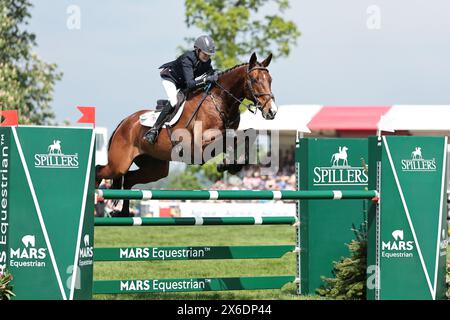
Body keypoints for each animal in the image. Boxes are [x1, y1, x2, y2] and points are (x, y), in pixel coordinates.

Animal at [95, 52, 278, 216]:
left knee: (129, 179)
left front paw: (232, 165)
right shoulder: (199, 145)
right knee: (100, 171)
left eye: (270, 80)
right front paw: (227, 165)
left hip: (155, 167)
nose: (272, 111)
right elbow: (229, 139)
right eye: (254, 80)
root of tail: (125, 122)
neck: (220, 102)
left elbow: (246, 135)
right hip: (119, 164)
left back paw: (124, 213)